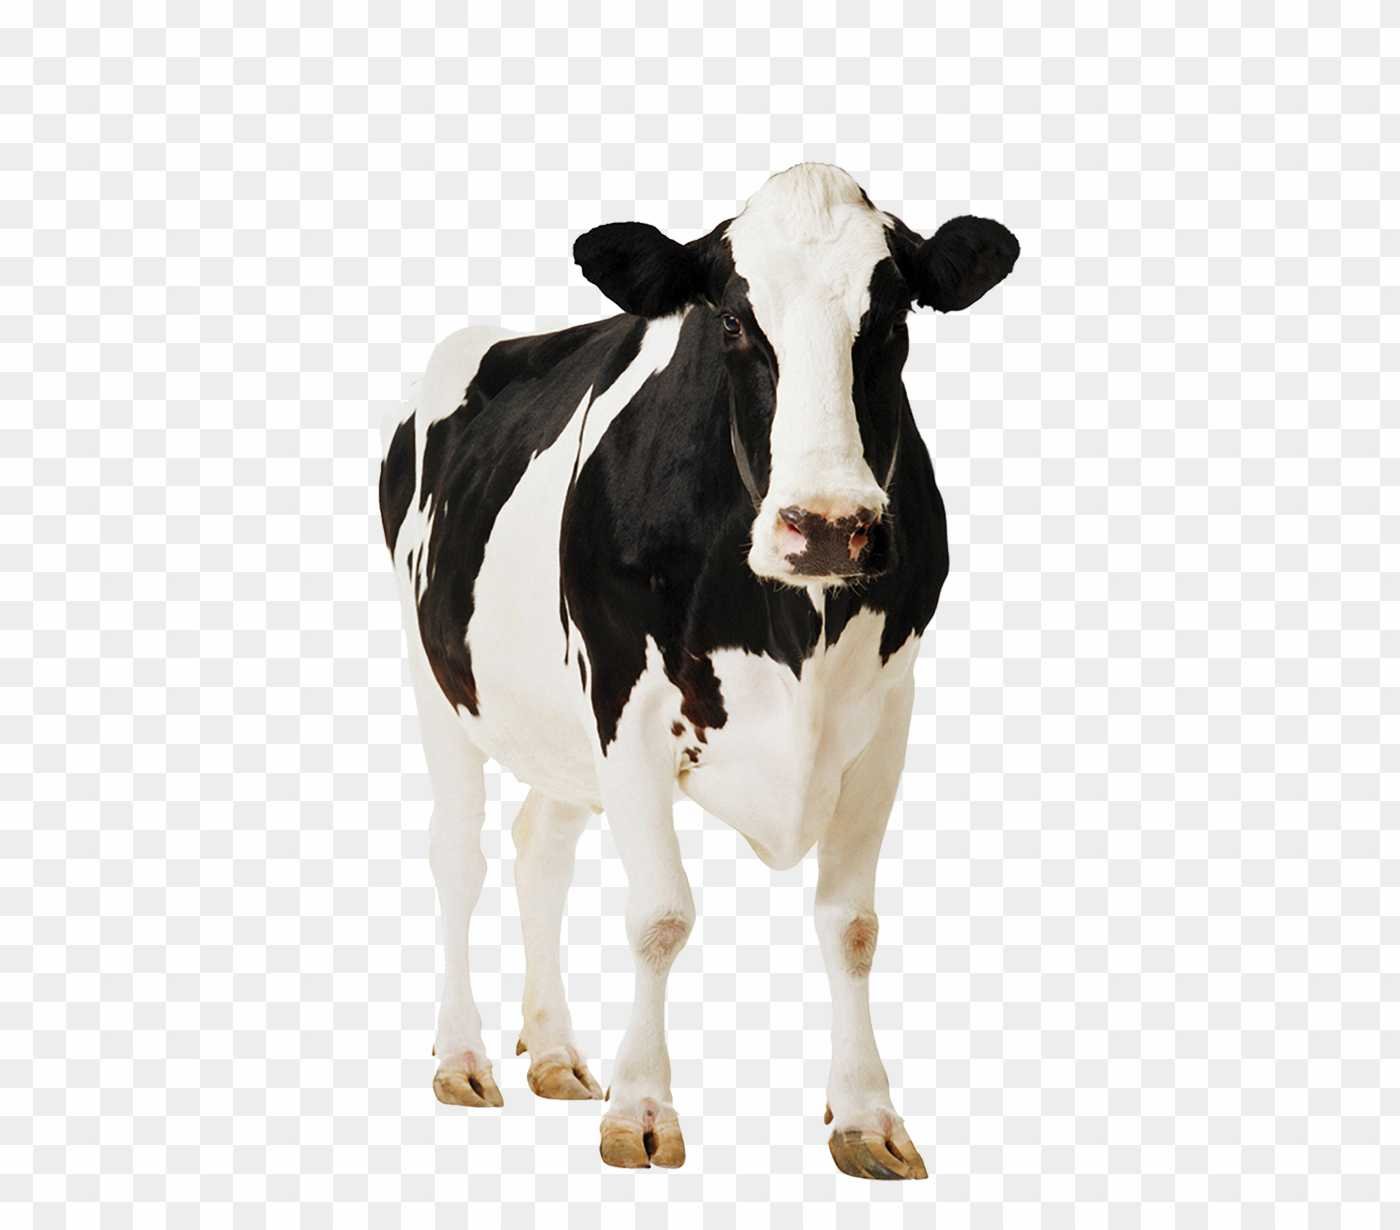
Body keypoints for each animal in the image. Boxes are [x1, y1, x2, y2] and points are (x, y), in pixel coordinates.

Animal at [378, 163, 1018, 1179]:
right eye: (729, 321)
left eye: (892, 318)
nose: (829, 525)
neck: (792, 623)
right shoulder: (626, 707)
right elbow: (660, 915)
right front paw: (642, 1110)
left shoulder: (886, 717)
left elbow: (852, 924)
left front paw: (866, 1116)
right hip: (437, 677)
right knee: (458, 857)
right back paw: (463, 1057)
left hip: (557, 724)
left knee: (539, 848)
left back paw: (553, 1051)